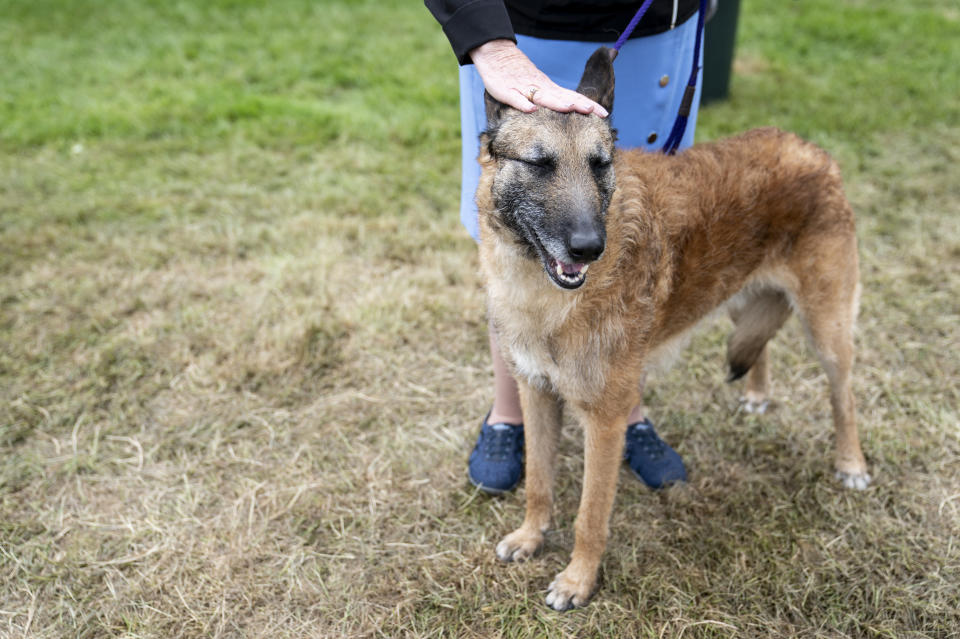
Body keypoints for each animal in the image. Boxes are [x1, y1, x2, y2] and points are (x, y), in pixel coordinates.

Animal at [478, 47, 872, 612]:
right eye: (538, 164)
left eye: (600, 164)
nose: (588, 248)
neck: (545, 295)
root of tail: (813, 150)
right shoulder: (536, 394)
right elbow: (538, 482)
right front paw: (531, 537)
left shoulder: (606, 421)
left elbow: (589, 516)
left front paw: (577, 581)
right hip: (737, 298)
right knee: (761, 341)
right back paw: (758, 394)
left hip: (828, 330)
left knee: (845, 396)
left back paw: (851, 463)